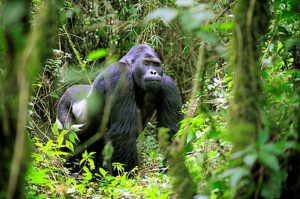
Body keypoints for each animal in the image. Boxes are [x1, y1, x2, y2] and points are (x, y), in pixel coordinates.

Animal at [57, 44, 182, 173]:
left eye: (156, 65)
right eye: (146, 63)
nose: (153, 72)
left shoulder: (168, 84)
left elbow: (170, 131)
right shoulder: (121, 75)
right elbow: (123, 131)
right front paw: (127, 173)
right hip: (64, 104)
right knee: (69, 137)